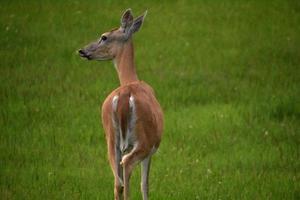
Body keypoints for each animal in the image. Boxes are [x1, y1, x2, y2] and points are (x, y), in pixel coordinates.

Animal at [78, 9, 163, 200]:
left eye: (104, 37)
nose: (82, 50)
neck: (131, 79)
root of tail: (124, 95)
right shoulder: (151, 150)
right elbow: (145, 185)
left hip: (110, 138)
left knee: (118, 182)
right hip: (145, 140)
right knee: (127, 166)